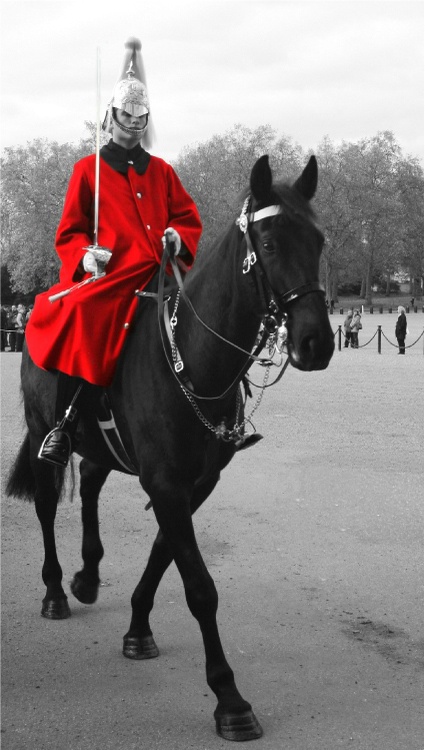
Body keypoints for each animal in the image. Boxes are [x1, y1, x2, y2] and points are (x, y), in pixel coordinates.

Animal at [4, 156, 332, 744]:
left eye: (318, 240)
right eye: (270, 244)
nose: (316, 343)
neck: (192, 358)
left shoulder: (193, 485)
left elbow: (162, 554)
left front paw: (137, 627)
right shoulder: (167, 484)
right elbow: (199, 586)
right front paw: (229, 698)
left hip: (103, 445)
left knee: (91, 483)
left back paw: (88, 575)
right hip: (44, 432)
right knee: (45, 506)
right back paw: (56, 590)